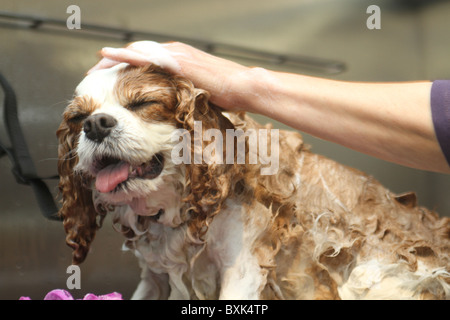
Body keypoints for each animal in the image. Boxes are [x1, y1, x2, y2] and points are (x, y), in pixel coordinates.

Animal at [57, 63, 450, 300]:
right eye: (78, 118)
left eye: (142, 103)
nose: (95, 124)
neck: (179, 210)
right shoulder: (154, 276)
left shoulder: (241, 266)